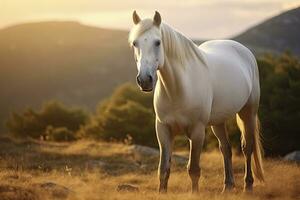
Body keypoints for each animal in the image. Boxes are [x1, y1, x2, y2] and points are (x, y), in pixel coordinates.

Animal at [127, 11, 264, 194]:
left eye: (158, 42)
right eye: (135, 43)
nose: (144, 80)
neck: (178, 89)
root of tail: (244, 52)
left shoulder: (197, 131)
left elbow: (193, 169)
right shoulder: (163, 129)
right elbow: (163, 169)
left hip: (248, 113)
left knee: (247, 148)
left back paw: (248, 186)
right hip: (218, 122)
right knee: (226, 149)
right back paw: (228, 187)